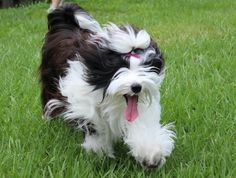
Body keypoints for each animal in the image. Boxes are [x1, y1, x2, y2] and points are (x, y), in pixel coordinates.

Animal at [39, 3, 175, 170]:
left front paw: (151, 155)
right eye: (119, 67)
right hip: (49, 79)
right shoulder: (83, 101)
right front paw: (99, 151)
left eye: (146, 67)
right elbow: (94, 126)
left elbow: (143, 127)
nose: (136, 87)